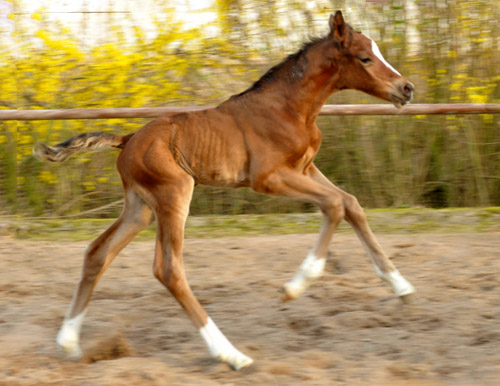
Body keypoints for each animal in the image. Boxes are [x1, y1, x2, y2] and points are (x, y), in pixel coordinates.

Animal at [36, 10, 414, 370]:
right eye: (365, 57)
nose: (406, 88)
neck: (289, 109)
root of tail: (128, 139)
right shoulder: (269, 178)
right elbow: (335, 204)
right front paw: (294, 288)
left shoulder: (305, 168)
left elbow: (350, 203)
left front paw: (402, 288)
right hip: (174, 194)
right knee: (168, 269)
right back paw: (231, 354)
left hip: (140, 207)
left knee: (98, 252)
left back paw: (69, 344)